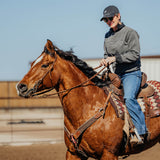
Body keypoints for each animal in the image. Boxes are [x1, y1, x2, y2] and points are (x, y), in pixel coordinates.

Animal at [16, 39, 160, 159]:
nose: (20, 87)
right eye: (32, 63)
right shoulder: (73, 153)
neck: (88, 107)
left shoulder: (109, 154)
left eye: (45, 65)